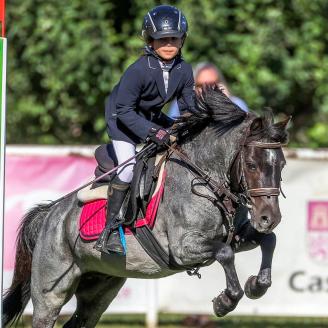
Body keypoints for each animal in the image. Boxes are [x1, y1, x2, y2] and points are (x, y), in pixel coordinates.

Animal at [3, 88, 290, 328]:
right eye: (251, 165)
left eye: (282, 164)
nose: (269, 218)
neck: (205, 178)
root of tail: (49, 215)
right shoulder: (183, 248)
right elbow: (225, 253)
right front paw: (225, 301)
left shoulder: (237, 236)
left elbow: (269, 240)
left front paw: (256, 286)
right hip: (51, 292)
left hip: (99, 289)